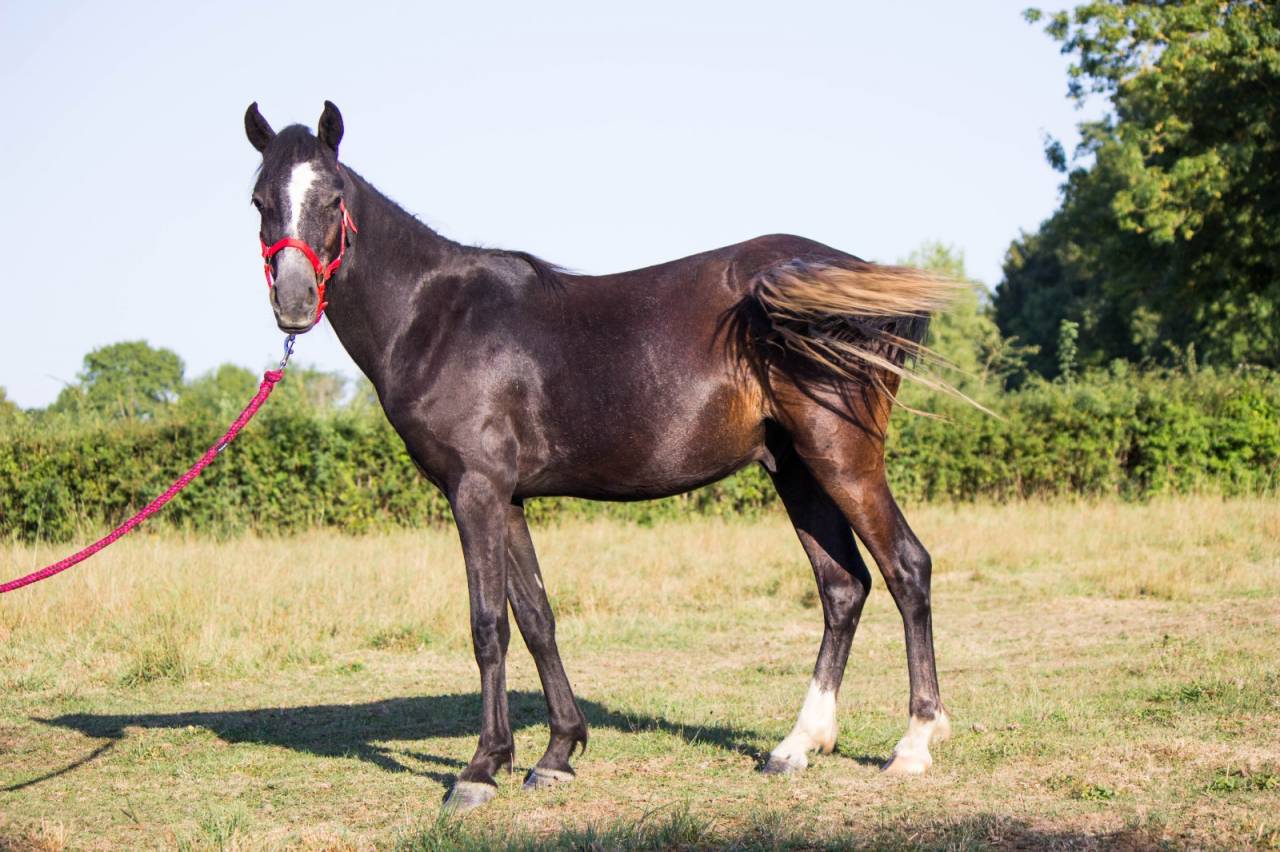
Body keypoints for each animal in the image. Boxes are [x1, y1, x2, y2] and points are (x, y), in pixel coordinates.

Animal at [244, 101, 957, 811]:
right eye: (259, 200)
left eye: (333, 197)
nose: (294, 303)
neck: (435, 317)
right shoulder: (508, 497)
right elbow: (536, 618)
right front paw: (557, 752)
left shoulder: (474, 490)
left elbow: (487, 625)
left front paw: (481, 768)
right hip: (797, 469)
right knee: (843, 587)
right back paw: (797, 745)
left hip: (842, 458)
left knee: (906, 568)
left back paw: (914, 743)